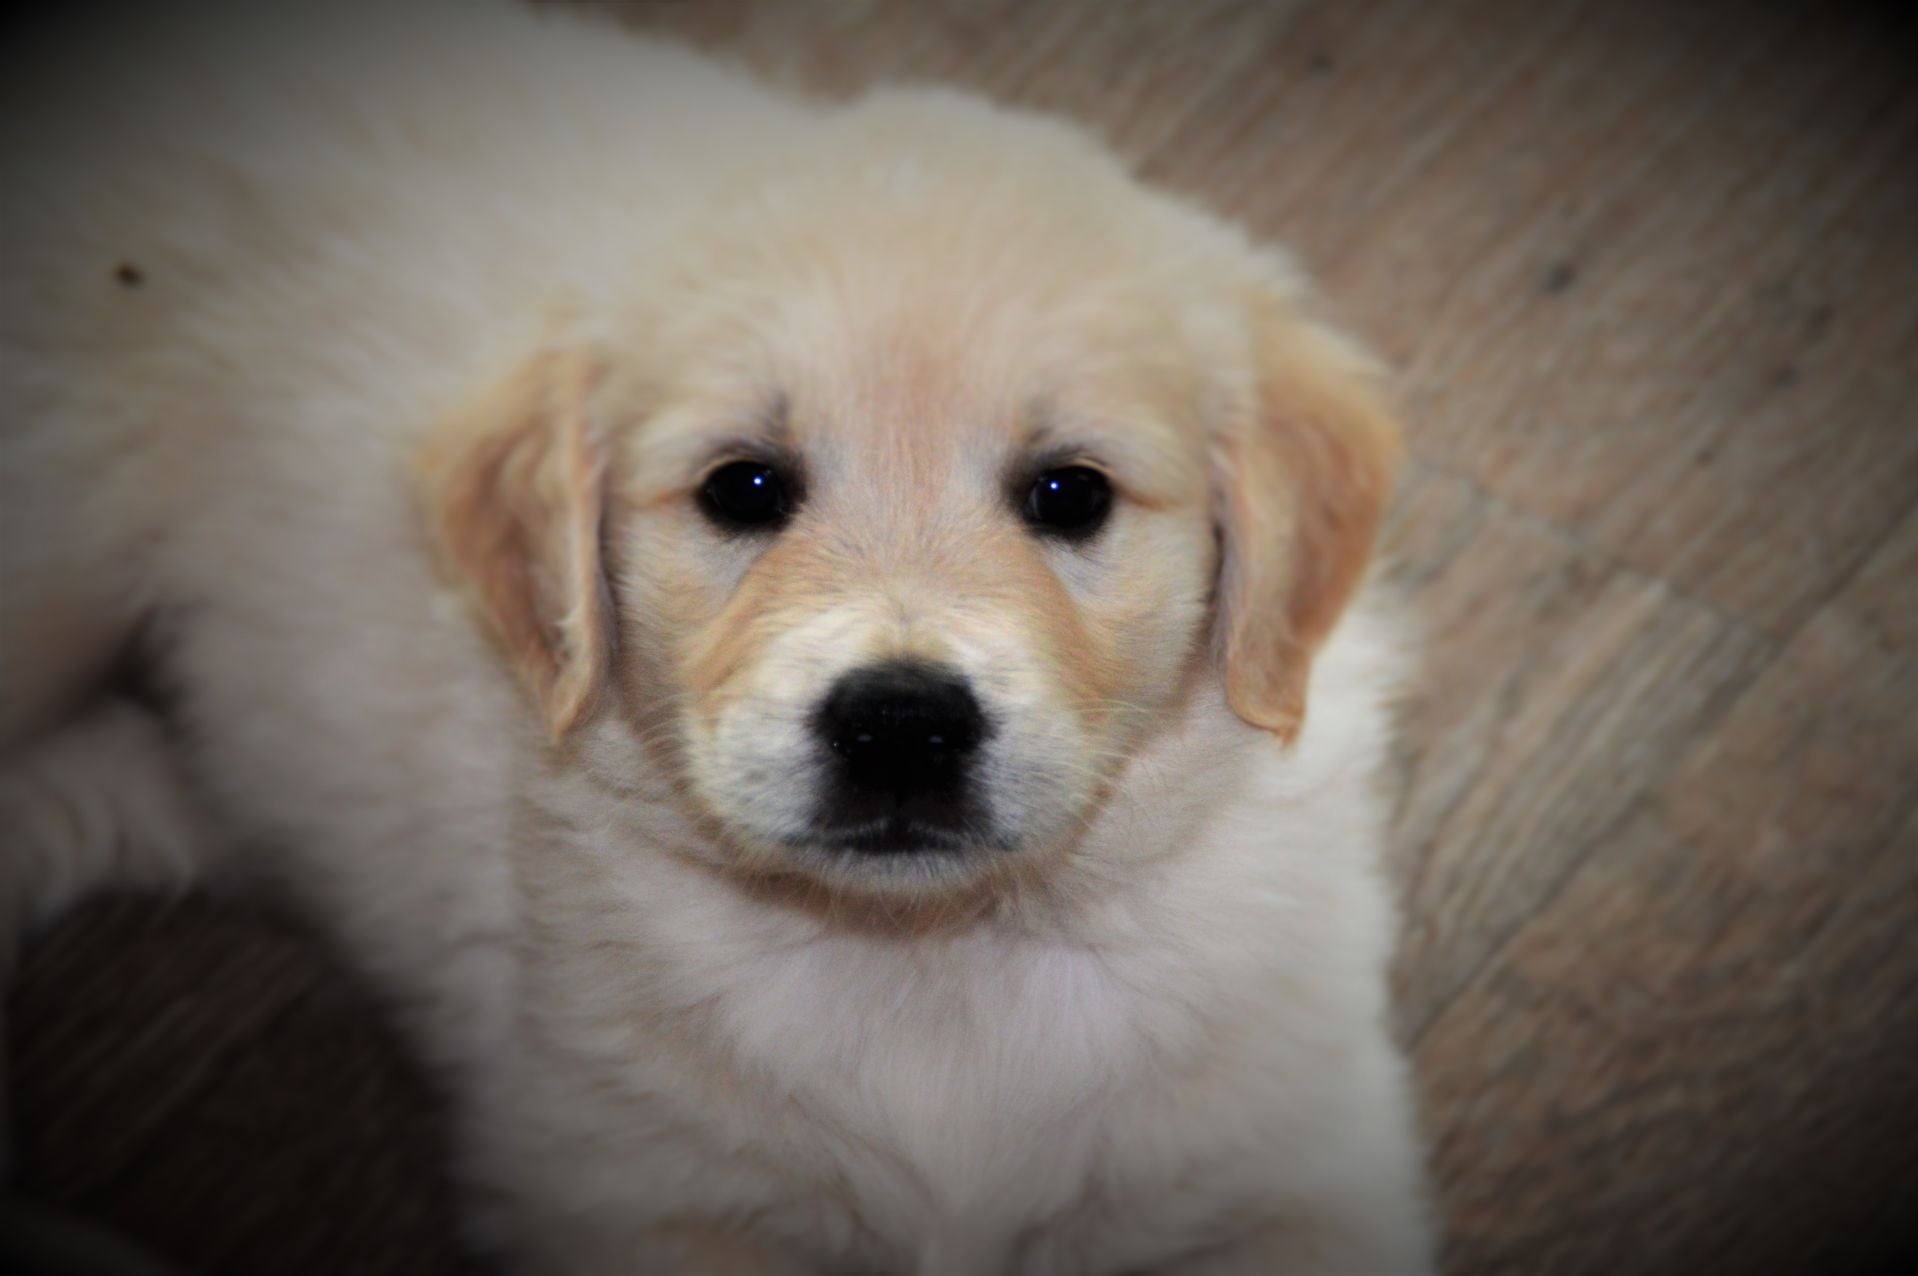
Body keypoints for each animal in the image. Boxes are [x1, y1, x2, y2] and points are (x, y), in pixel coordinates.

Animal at [0, 2, 1435, 1271]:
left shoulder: (1287, 1166)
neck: (932, 963)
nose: (900, 723)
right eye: (742, 487)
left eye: (1069, 494)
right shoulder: (631, 1185)